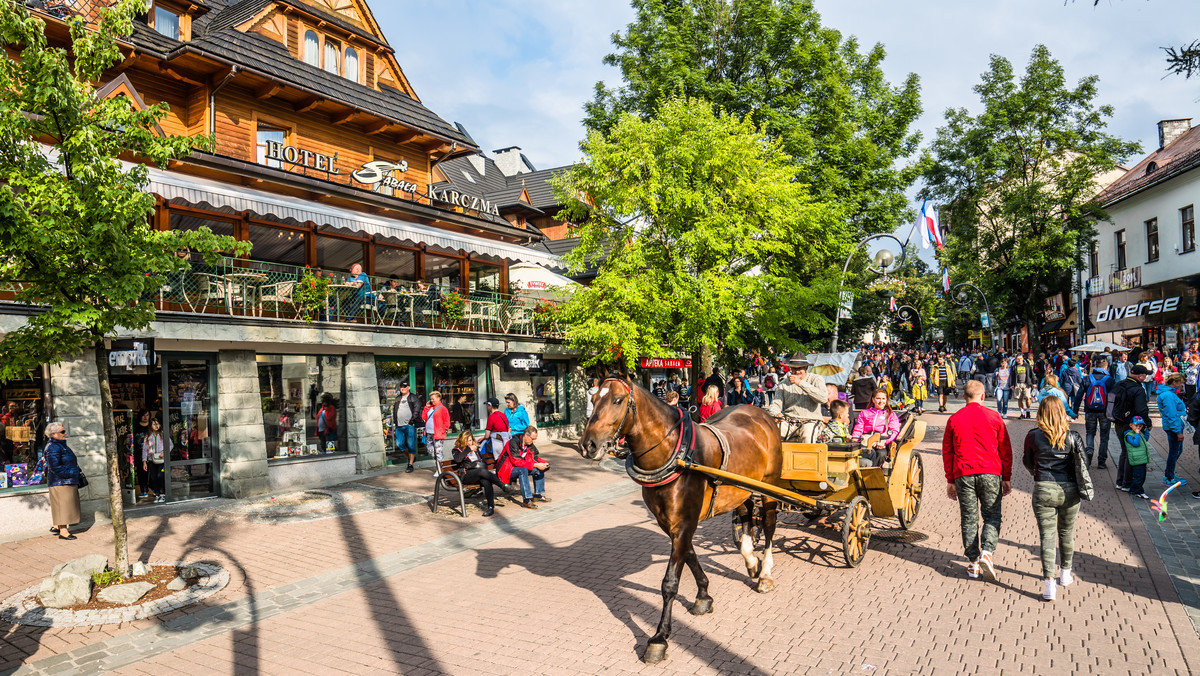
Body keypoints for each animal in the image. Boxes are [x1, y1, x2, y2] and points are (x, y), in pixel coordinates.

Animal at [576, 379, 782, 662]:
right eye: (593, 398)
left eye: (617, 400)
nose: (588, 445)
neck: (675, 455)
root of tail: (761, 414)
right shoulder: (670, 522)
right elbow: (691, 555)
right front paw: (704, 595)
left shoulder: (684, 523)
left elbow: (670, 581)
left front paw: (659, 637)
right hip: (739, 487)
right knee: (747, 512)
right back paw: (751, 559)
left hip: (770, 484)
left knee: (770, 523)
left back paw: (765, 574)